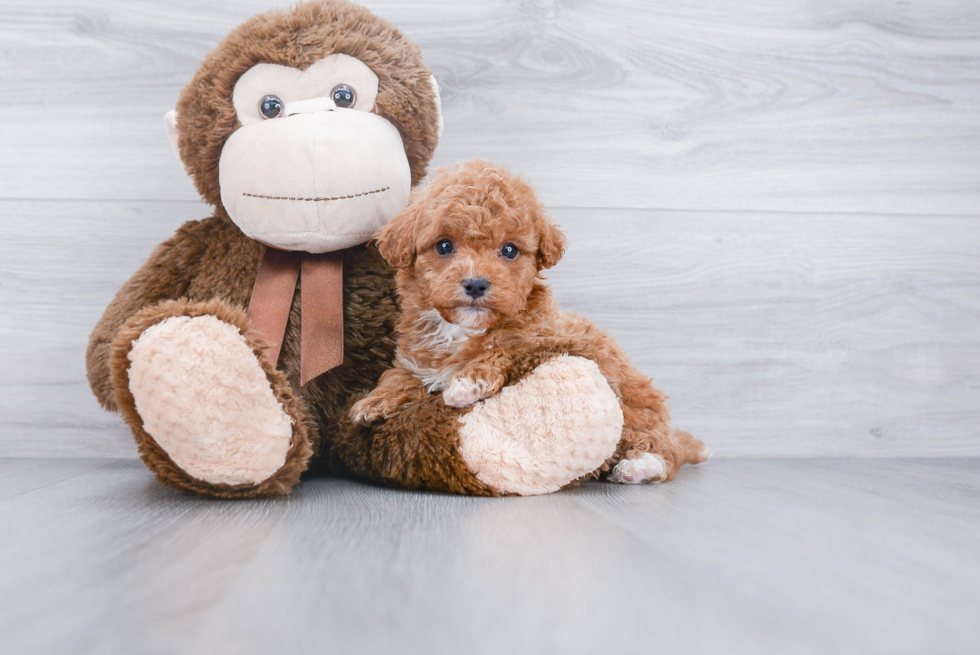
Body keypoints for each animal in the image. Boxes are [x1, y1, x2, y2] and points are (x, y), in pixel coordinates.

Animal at [348, 161, 708, 484]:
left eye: (509, 250)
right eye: (444, 245)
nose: (476, 284)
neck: (461, 329)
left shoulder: (543, 337)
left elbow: (505, 347)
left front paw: (468, 382)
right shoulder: (415, 358)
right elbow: (398, 375)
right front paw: (374, 401)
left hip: (635, 405)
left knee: (664, 451)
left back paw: (639, 467)